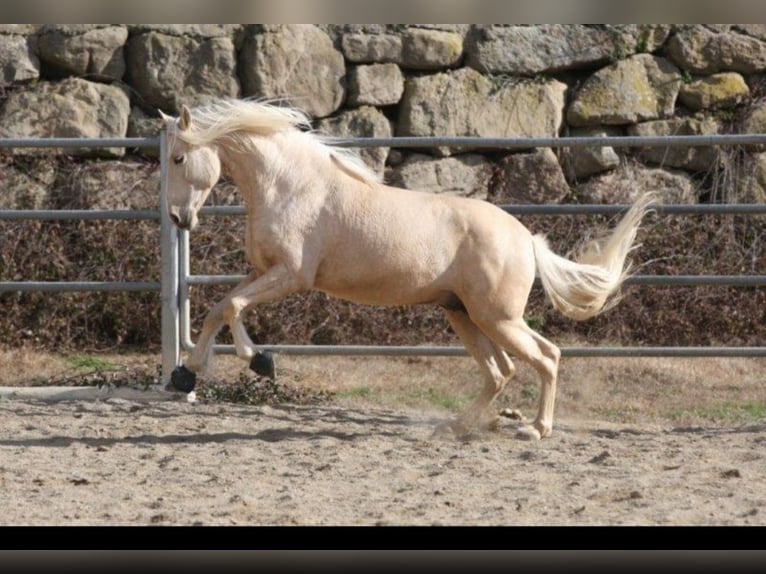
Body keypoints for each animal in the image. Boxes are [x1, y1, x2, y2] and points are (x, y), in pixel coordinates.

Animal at [159, 98, 654, 440]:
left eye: (178, 158)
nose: (178, 219)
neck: (290, 186)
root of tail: (526, 239)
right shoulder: (262, 271)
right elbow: (220, 306)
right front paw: (188, 372)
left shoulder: (292, 276)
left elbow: (233, 307)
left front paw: (258, 360)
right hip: (463, 315)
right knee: (501, 372)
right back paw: (455, 428)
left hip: (497, 317)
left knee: (545, 357)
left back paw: (534, 429)